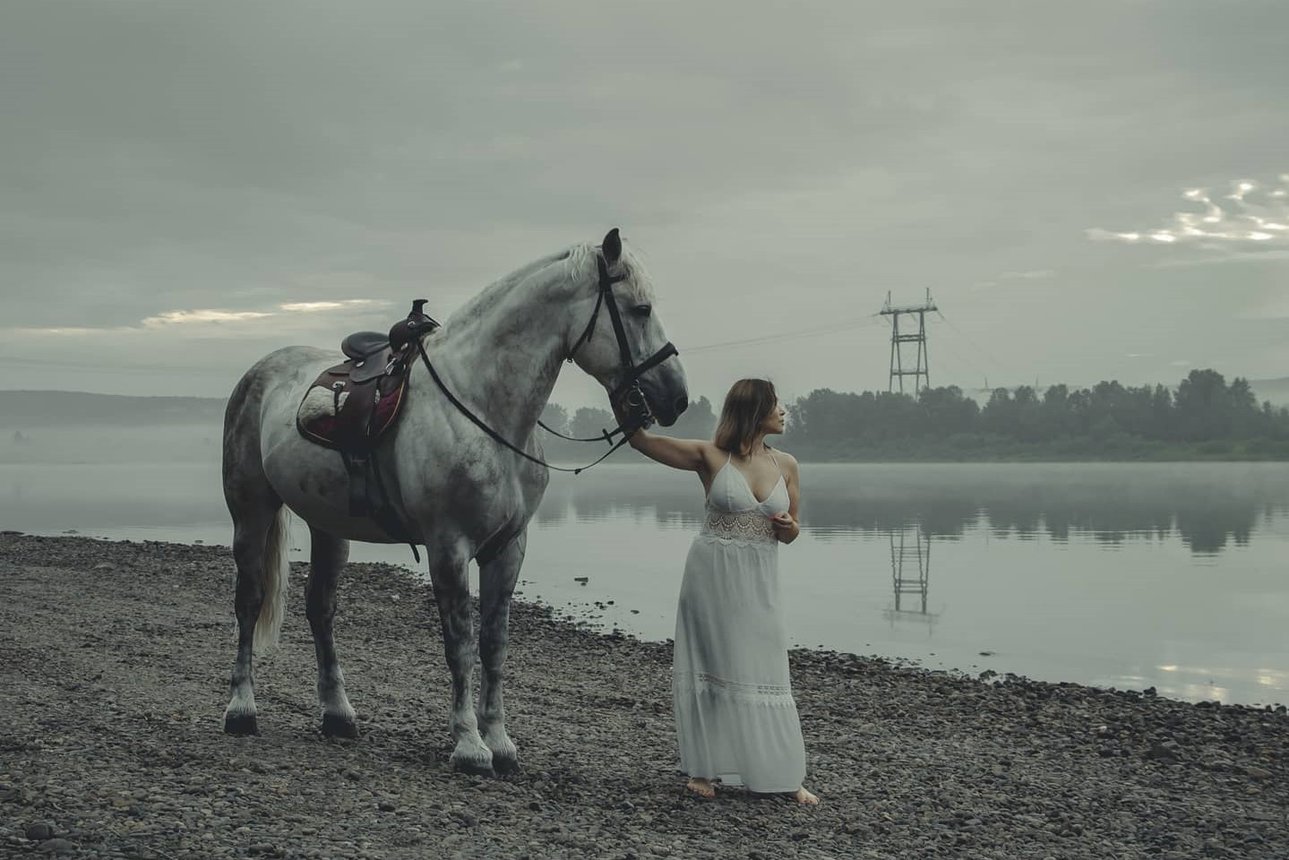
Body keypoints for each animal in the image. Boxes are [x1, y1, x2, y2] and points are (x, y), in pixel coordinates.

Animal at [216, 226, 690, 773]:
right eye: (639, 309)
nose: (675, 398)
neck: (481, 405)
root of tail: (261, 371)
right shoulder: (450, 547)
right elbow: (459, 644)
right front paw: (468, 743)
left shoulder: (508, 548)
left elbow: (494, 644)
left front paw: (499, 740)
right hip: (251, 510)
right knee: (249, 601)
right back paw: (241, 708)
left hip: (328, 527)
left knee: (321, 610)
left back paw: (338, 714)